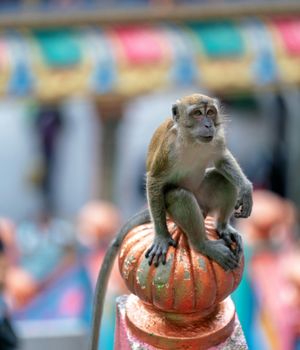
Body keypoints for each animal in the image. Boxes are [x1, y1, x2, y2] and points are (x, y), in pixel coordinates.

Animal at [89, 93, 253, 350]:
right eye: (197, 114)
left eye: (210, 112)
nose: (208, 125)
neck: (192, 141)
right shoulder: (168, 151)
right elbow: (155, 182)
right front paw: (161, 237)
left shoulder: (215, 141)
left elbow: (221, 160)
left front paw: (246, 188)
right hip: (172, 212)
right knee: (179, 196)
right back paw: (201, 244)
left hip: (203, 201)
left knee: (220, 178)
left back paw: (223, 227)